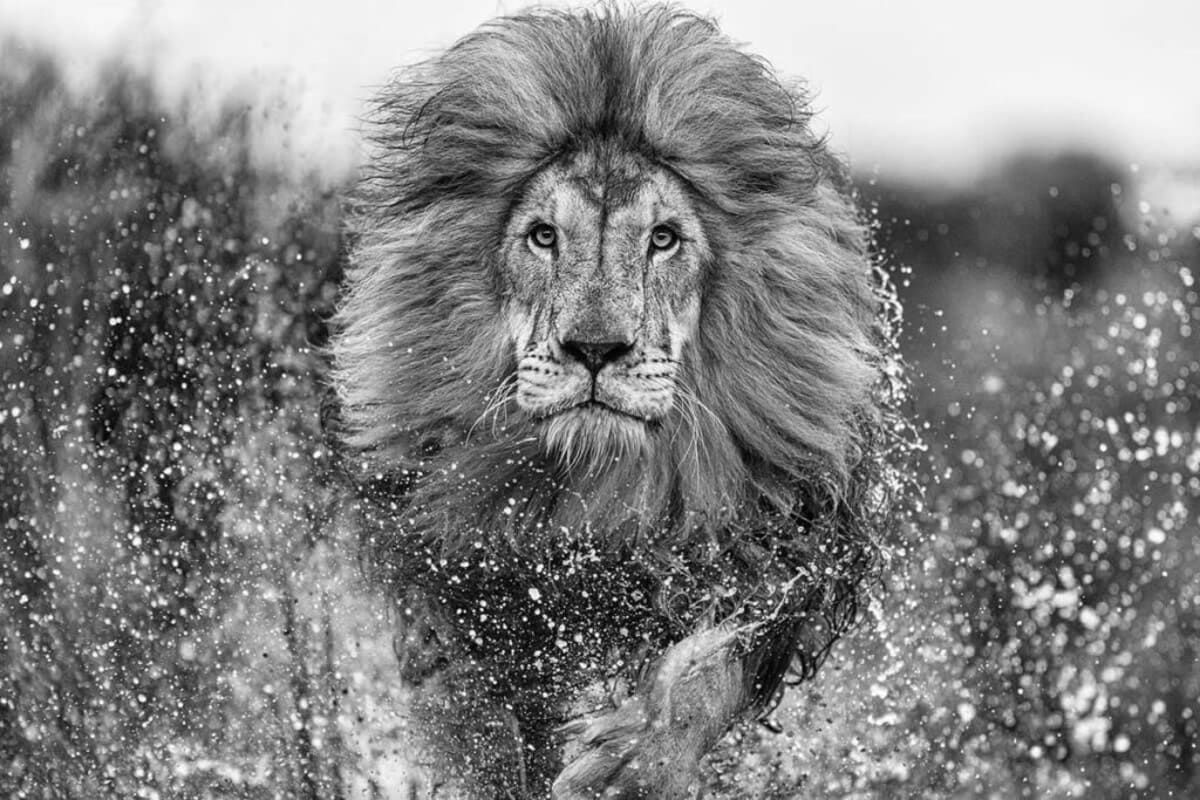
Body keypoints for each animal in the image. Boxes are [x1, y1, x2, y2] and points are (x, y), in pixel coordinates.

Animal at [328, 5, 911, 798]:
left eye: (663, 239)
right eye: (543, 237)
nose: (596, 349)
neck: (603, 488)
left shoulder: (781, 546)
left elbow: (710, 670)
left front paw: (634, 763)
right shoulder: (453, 573)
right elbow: (481, 723)